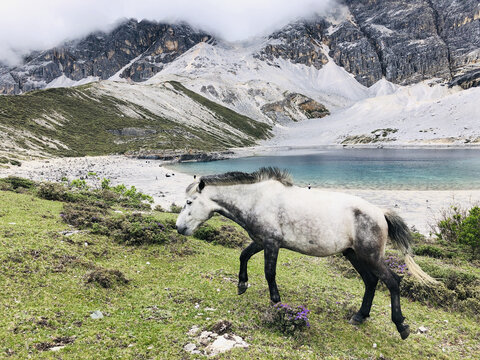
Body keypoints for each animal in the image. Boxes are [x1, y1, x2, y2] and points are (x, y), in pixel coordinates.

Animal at [174, 167, 436, 338]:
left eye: (189, 202)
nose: (179, 227)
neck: (257, 199)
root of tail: (380, 213)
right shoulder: (262, 241)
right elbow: (243, 255)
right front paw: (242, 285)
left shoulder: (271, 244)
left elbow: (269, 273)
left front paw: (277, 304)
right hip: (354, 255)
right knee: (371, 282)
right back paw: (360, 316)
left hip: (370, 256)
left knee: (392, 281)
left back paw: (401, 326)